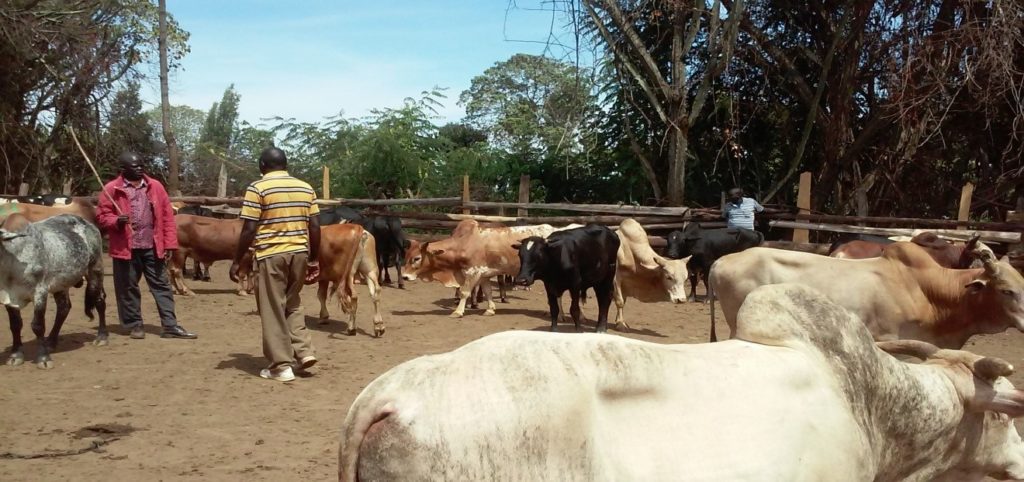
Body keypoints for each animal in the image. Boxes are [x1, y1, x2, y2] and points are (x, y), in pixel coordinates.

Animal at [1, 212, 107, 368]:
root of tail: (89, 224)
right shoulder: (9, 297)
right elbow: (15, 325)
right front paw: (15, 355)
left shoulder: (40, 292)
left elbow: (37, 325)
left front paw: (43, 358)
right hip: (61, 284)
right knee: (64, 308)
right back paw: (50, 341)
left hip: (95, 270)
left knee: (99, 301)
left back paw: (102, 337)